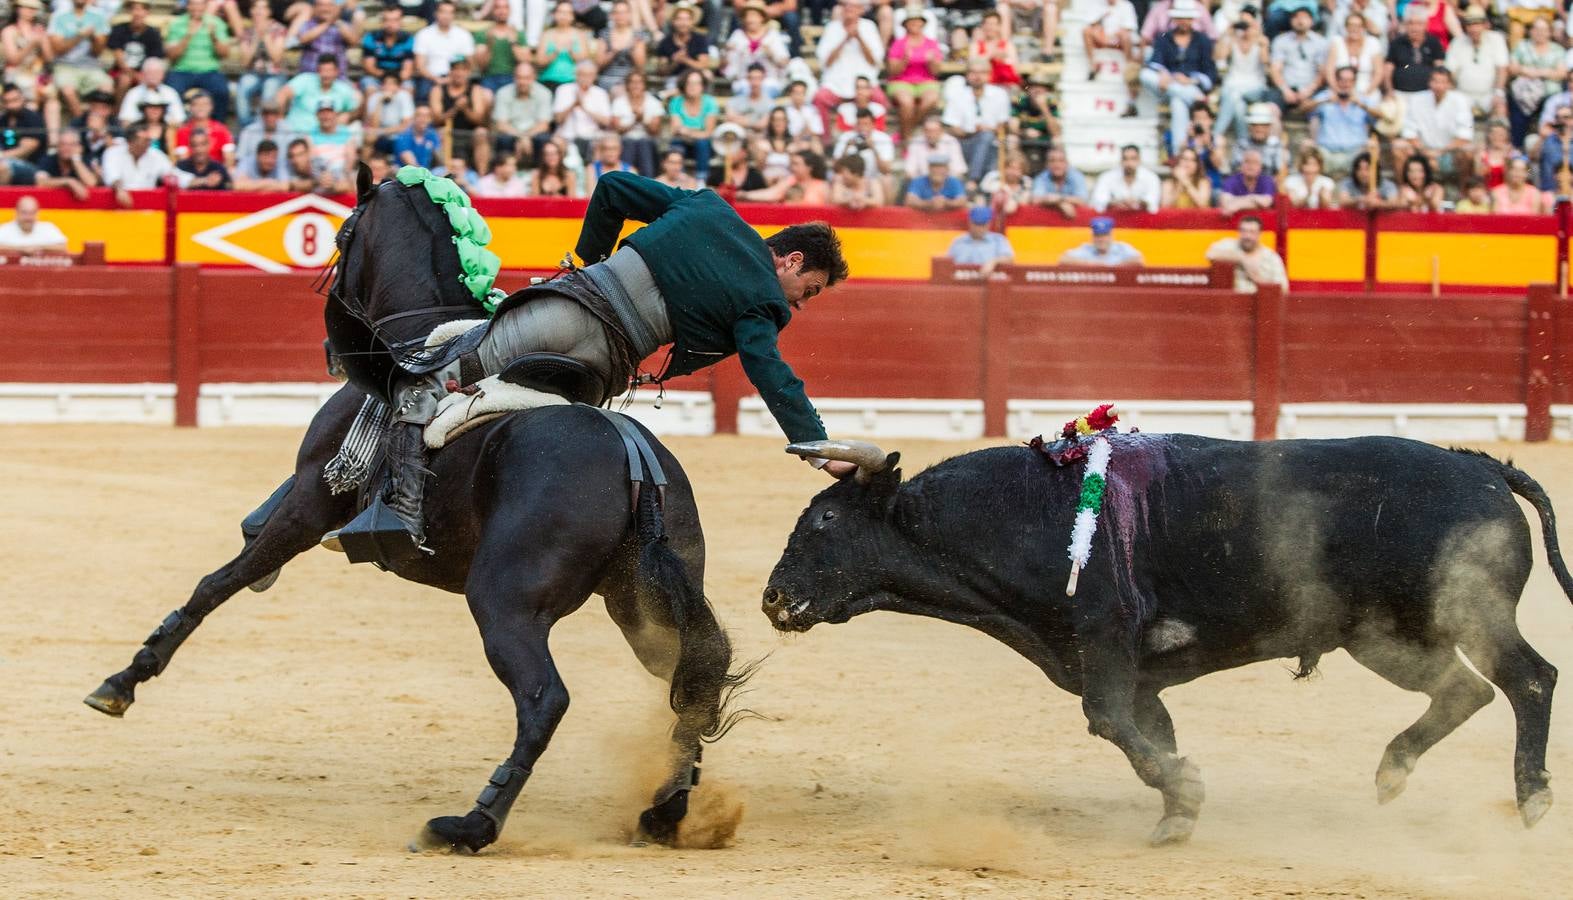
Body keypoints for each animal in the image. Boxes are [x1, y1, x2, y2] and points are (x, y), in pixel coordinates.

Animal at [82, 166, 745, 849]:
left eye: (341, 236)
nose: (331, 346)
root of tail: (630, 453)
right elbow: (245, 553)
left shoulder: (314, 496)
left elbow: (221, 580)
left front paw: (122, 681)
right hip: (640, 606)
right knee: (692, 679)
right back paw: (665, 810)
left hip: (504, 599)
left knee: (545, 698)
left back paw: (471, 822)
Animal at [764, 434, 1573, 843]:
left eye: (826, 520)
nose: (771, 597)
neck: (1020, 514)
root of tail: (1478, 467)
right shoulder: (1135, 671)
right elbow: (1146, 731)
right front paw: (1177, 813)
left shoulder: (1105, 643)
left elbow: (1107, 722)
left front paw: (1184, 790)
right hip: (1384, 636)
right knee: (1464, 689)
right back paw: (1391, 774)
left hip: (1468, 614)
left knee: (1528, 678)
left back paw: (1531, 799)